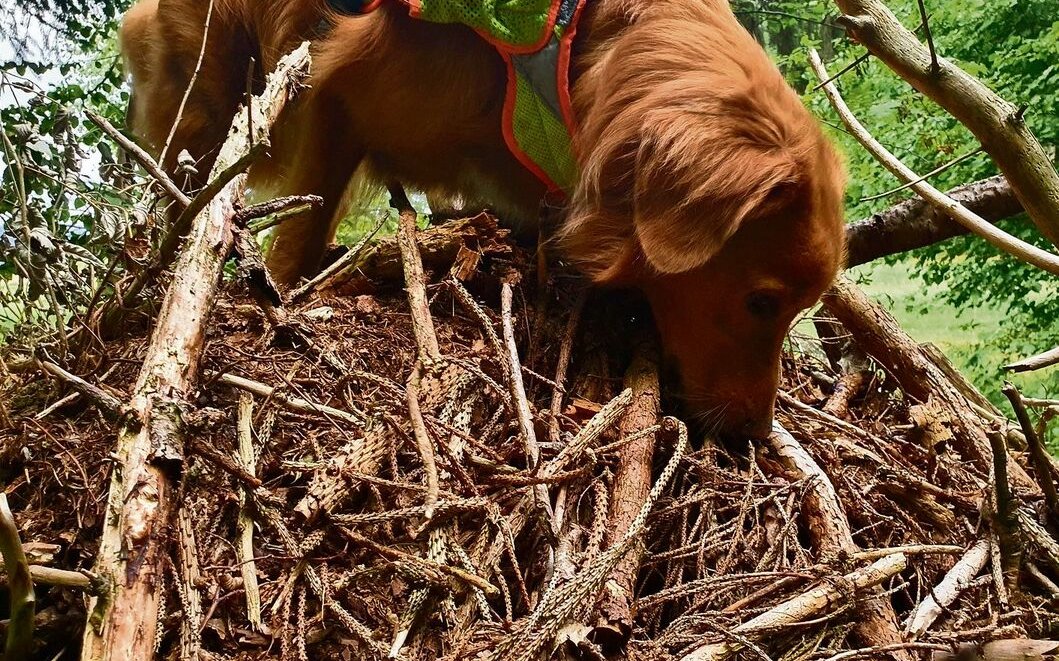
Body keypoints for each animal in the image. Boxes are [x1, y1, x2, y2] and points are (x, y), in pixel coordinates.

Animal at [118, 1, 842, 444]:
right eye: (760, 301)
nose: (753, 433)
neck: (587, 48)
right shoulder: (340, 92)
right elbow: (295, 238)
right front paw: (271, 303)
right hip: (207, 101)